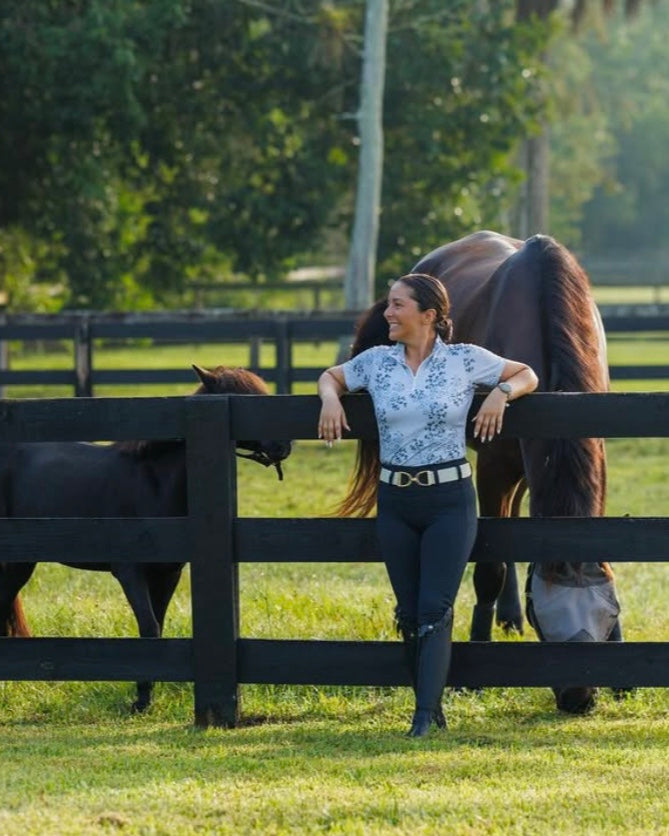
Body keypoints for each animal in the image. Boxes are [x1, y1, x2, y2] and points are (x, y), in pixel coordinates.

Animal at [0, 364, 292, 712]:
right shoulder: (130, 573)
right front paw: (141, 699)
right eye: (244, 398)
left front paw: (149, 693)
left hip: (21, 563)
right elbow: (148, 628)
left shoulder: (168, 574)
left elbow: (158, 628)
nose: (283, 445)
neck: (152, 484)